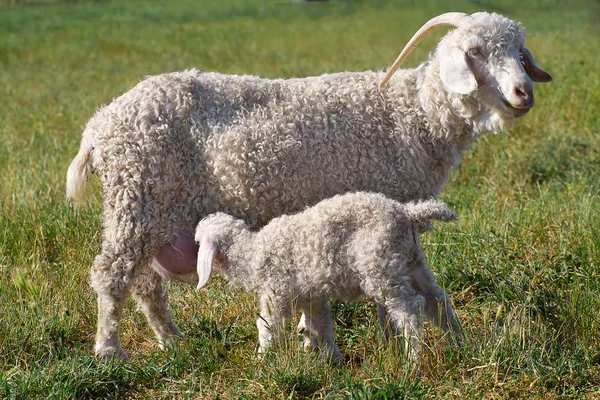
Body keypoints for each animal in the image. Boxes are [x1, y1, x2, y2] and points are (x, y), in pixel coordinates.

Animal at [67, 10, 552, 360]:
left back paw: (171, 341)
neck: (413, 113)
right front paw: (386, 346)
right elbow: (385, 298)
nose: (523, 93)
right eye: (475, 51)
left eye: (518, 51)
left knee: (146, 283)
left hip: (151, 211)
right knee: (112, 276)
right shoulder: (380, 207)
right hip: (135, 200)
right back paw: (109, 351)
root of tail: (99, 125)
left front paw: (316, 338)